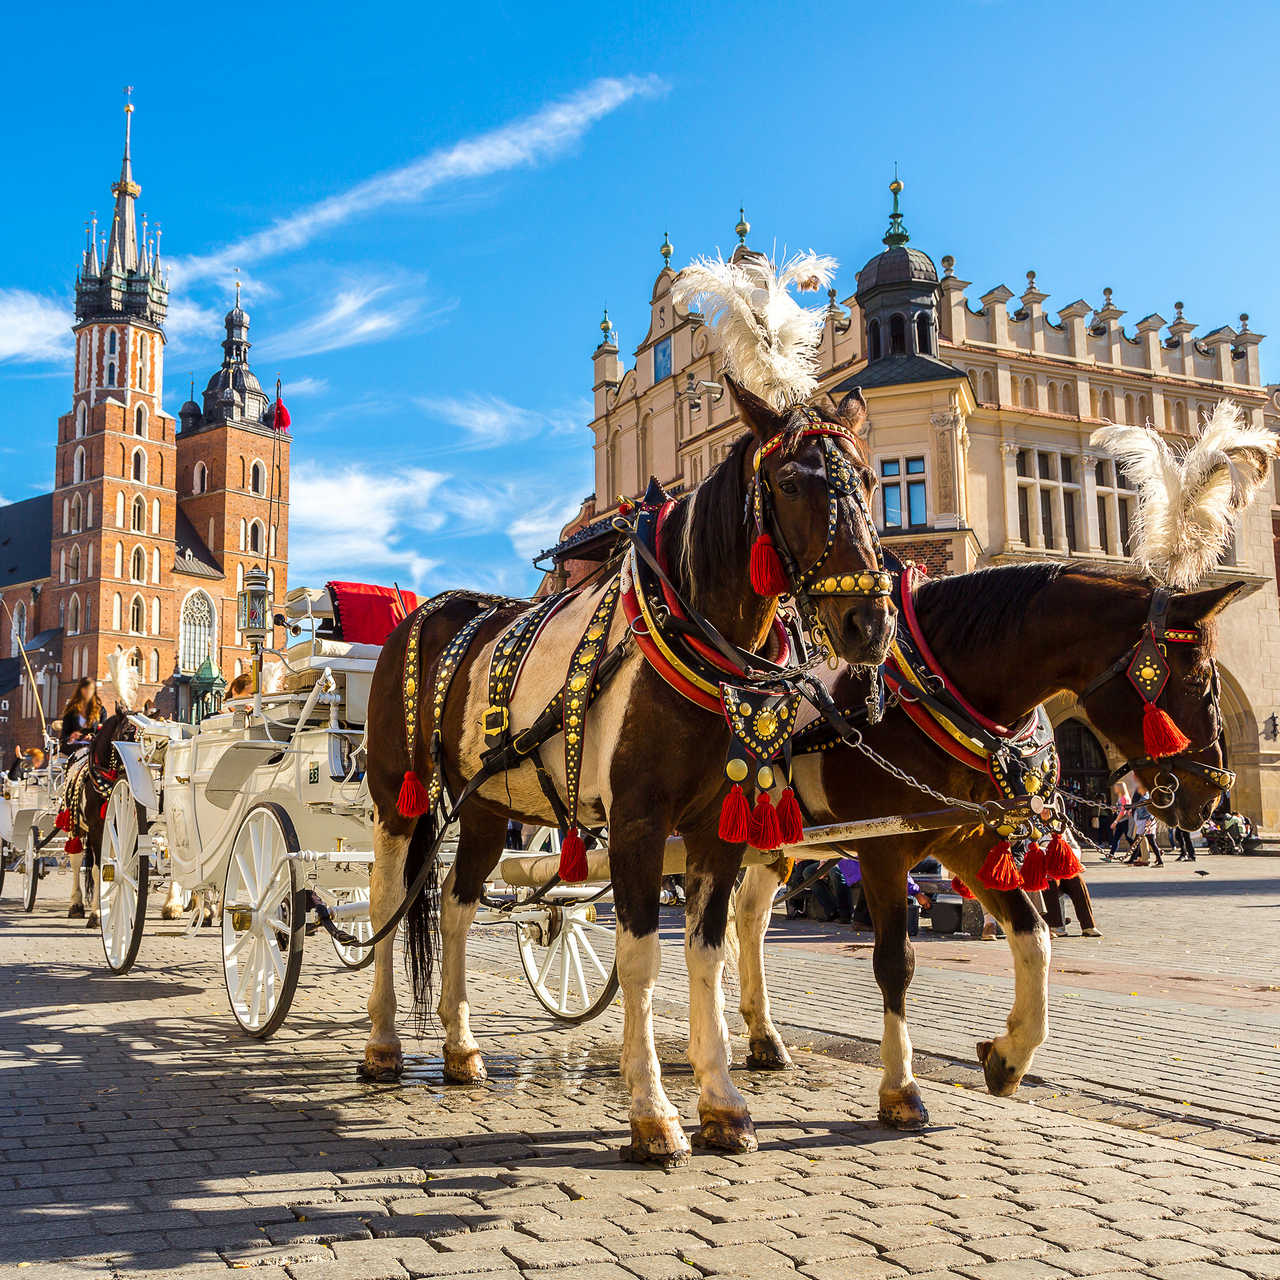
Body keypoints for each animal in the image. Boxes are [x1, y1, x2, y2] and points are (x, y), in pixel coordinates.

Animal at [360, 376, 896, 1162]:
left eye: (870, 481)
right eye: (792, 482)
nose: (870, 624)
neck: (687, 639)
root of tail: (426, 611)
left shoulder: (716, 830)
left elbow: (708, 953)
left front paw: (723, 1103)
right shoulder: (639, 824)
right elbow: (642, 957)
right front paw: (653, 1113)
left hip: (485, 805)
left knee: (456, 906)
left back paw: (461, 1049)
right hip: (398, 798)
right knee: (386, 904)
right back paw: (382, 1045)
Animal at [737, 565, 1244, 1126]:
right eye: (1198, 680)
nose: (1213, 793)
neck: (923, 699)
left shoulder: (968, 839)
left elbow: (1035, 936)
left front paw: (1008, 1055)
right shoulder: (883, 850)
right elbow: (894, 963)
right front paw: (900, 1088)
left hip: (771, 846)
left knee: (748, 920)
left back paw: (763, 1038)